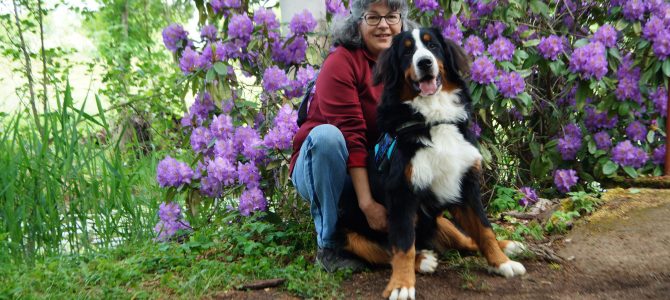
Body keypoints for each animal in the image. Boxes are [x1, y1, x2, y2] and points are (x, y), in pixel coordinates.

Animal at [338, 27, 528, 298]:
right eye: (407, 51)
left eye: (433, 46)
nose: (425, 62)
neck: (434, 117)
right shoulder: (401, 192)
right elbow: (403, 245)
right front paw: (402, 285)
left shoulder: (465, 184)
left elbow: (484, 229)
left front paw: (502, 263)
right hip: (351, 236)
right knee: (388, 252)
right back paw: (424, 259)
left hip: (442, 221)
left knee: (467, 240)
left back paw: (509, 246)